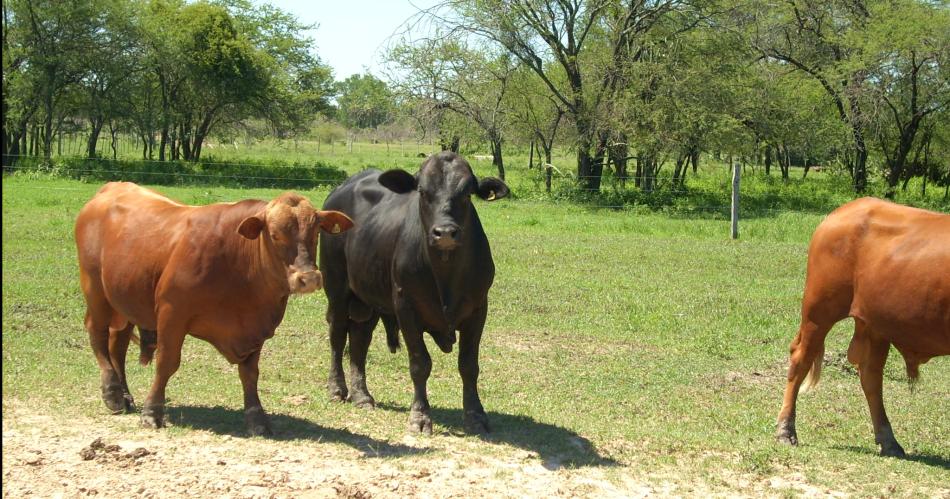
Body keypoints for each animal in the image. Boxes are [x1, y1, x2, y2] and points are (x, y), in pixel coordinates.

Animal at [76, 182, 356, 436]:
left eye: (316, 232)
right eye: (275, 234)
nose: (308, 278)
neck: (237, 261)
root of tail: (111, 187)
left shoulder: (257, 327)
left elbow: (250, 373)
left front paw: (256, 418)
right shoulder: (172, 313)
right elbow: (166, 363)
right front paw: (152, 412)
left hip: (123, 303)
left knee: (117, 343)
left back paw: (124, 395)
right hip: (96, 292)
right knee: (97, 335)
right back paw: (112, 393)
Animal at [320, 151, 510, 434]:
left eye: (467, 193)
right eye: (422, 191)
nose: (445, 233)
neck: (445, 277)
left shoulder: (478, 309)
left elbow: (469, 365)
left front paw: (476, 415)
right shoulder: (406, 307)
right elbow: (420, 364)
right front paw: (420, 416)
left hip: (368, 300)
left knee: (359, 341)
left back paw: (362, 395)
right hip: (336, 289)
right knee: (337, 336)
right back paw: (337, 388)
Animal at [780, 197, 950, 458]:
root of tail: (843, 210)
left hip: (875, 324)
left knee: (871, 376)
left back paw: (889, 440)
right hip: (818, 311)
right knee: (800, 360)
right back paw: (785, 430)